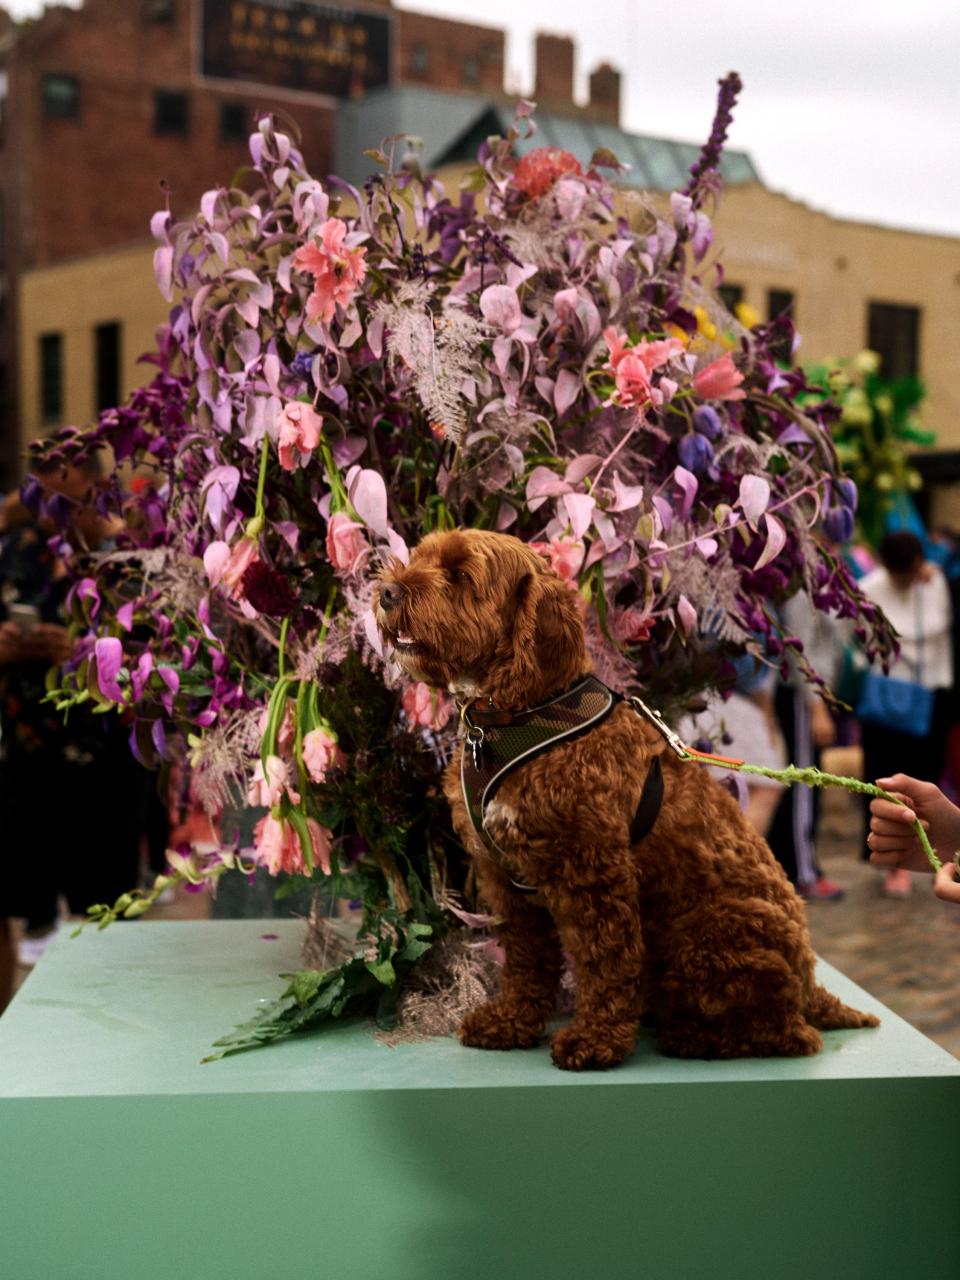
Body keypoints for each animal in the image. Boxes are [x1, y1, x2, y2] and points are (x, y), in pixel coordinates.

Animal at [373, 529, 880, 1070]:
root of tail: (811, 980)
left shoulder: (594, 873)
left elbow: (606, 961)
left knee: (791, 1032)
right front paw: (511, 1021)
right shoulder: (505, 881)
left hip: (704, 936)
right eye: (420, 558)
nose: (386, 592)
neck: (517, 716)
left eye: (460, 575)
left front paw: (596, 1039)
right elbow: (527, 960)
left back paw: (693, 1037)